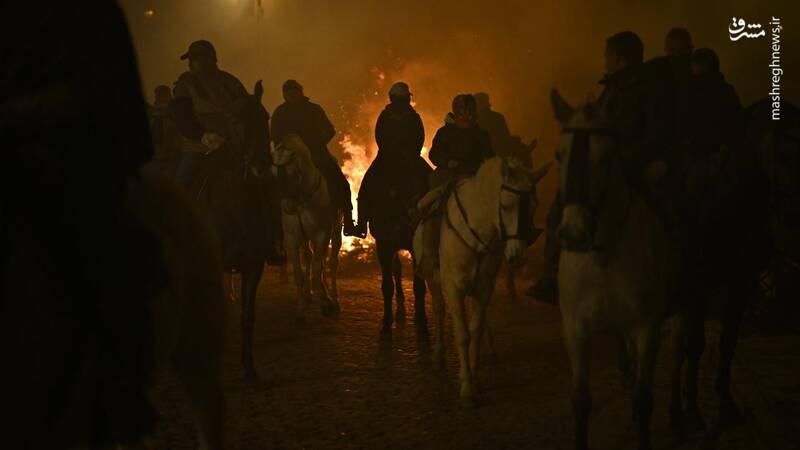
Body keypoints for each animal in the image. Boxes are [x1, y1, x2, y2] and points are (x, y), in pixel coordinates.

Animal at [271, 134, 343, 325]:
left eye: (293, 173)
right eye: (275, 175)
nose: (288, 207)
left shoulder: (322, 234)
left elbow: (319, 266)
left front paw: (326, 302)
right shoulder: (292, 240)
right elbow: (299, 273)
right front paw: (301, 311)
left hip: (336, 232)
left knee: (331, 262)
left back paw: (333, 296)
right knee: (311, 257)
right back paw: (311, 293)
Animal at [414, 155, 549, 407]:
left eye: (534, 205)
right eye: (505, 206)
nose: (518, 255)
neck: (476, 233)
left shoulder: (484, 288)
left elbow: (474, 331)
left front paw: (475, 381)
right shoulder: (453, 288)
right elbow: (462, 334)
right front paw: (467, 388)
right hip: (432, 280)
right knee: (438, 310)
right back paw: (438, 356)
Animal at [550, 89, 678, 450]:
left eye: (606, 157)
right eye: (559, 155)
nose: (573, 235)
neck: (602, 259)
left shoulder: (648, 329)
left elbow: (644, 399)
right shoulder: (576, 330)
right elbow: (581, 401)